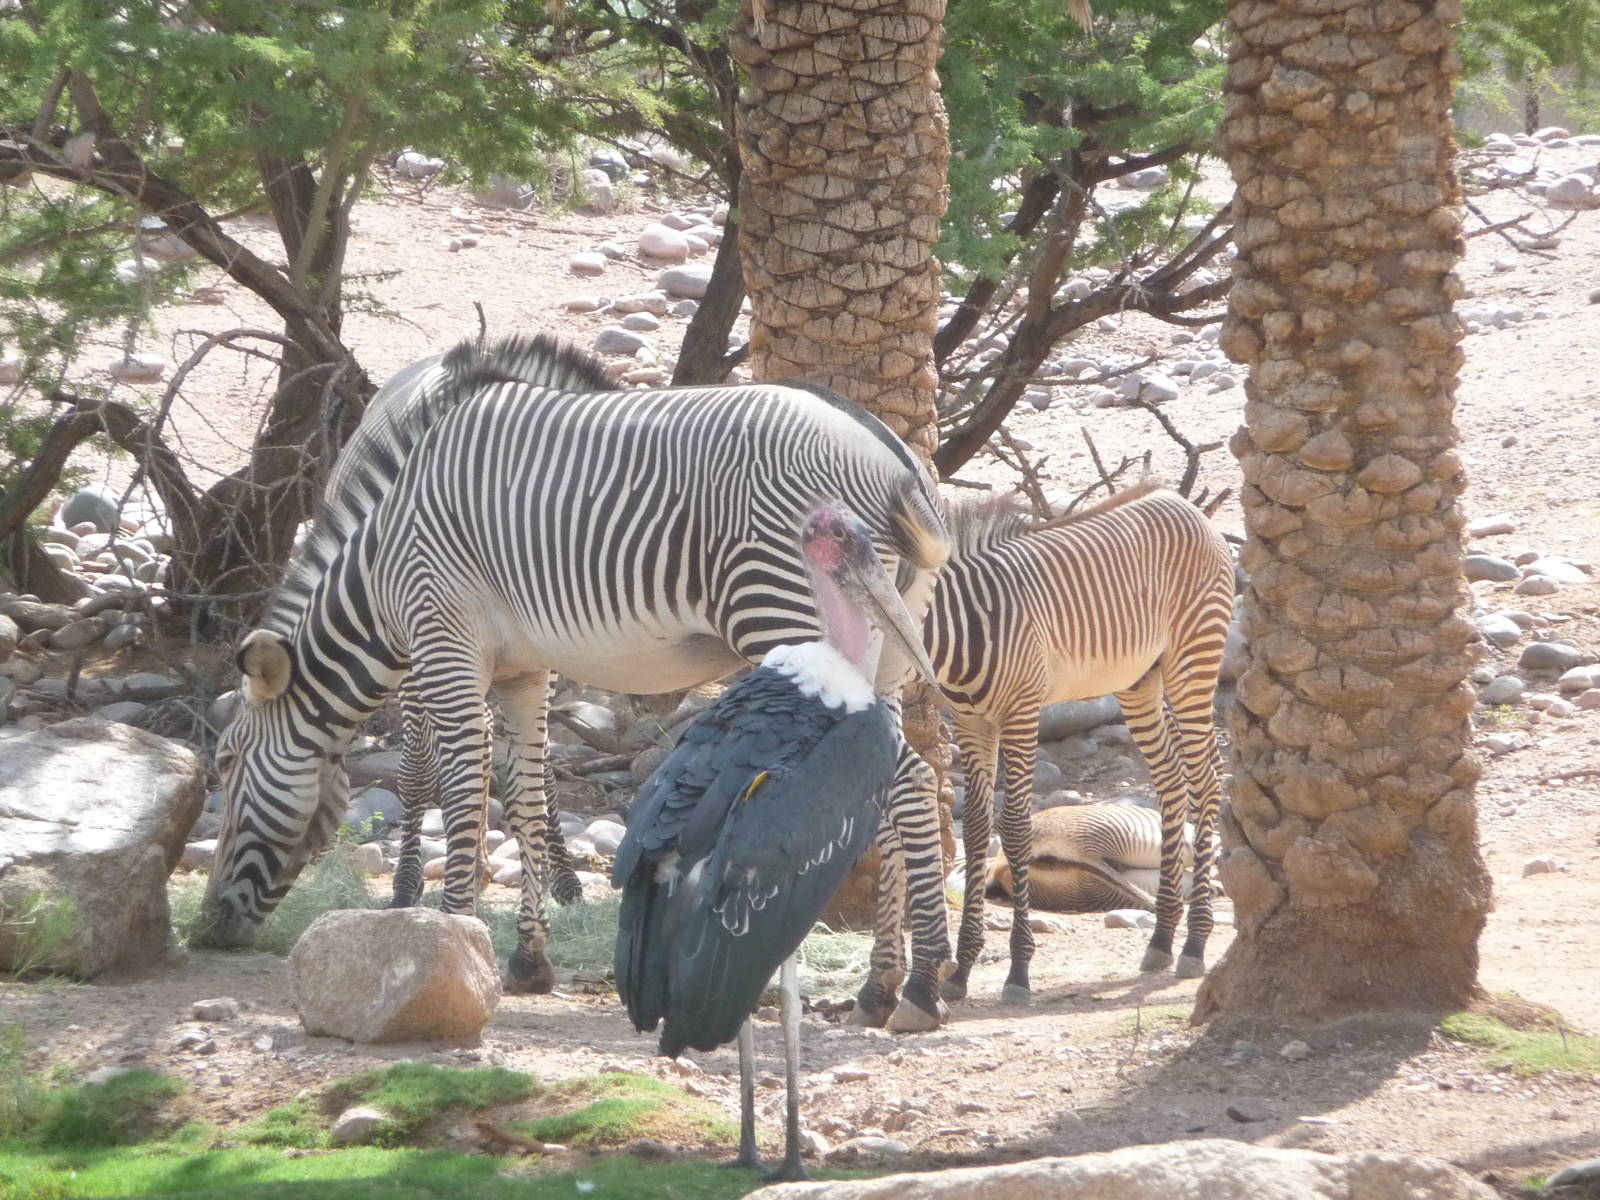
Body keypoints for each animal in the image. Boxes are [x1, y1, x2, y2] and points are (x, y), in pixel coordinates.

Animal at [202, 332, 957, 1032]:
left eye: (228, 762)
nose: (209, 926)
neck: (382, 559)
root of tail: (894, 457)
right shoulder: (521, 668)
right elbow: (527, 793)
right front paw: (526, 959)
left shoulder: (443, 640)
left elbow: (463, 785)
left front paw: (448, 933)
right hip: (887, 647)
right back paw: (879, 986)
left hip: (786, 609)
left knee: (911, 781)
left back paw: (922, 986)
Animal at [925, 481, 1233, 1004]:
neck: (963, 627)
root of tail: (1180, 500)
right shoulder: (971, 721)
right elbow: (979, 830)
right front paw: (961, 971)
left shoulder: (1021, 713)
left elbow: (1015, 828)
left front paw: (1018, 972)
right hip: (1137, 679)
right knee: (1171, 781)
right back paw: (1162, 937)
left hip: (1194, 658)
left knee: (1206, 779)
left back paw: (1194, 943)